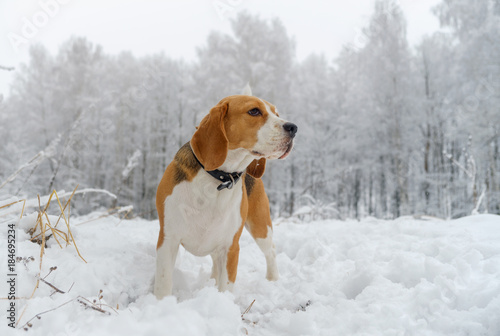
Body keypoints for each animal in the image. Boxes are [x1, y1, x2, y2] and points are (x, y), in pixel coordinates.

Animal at [154, 93, 296, 298]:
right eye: (254, 111)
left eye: (277, 114)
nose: (293, 128)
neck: (218, 178)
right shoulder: (168, 239)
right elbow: (163, 284)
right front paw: (160, 303)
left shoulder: (231, 247)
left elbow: (226, 287)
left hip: (260, 226)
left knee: (271, 251)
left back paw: (273, 279)